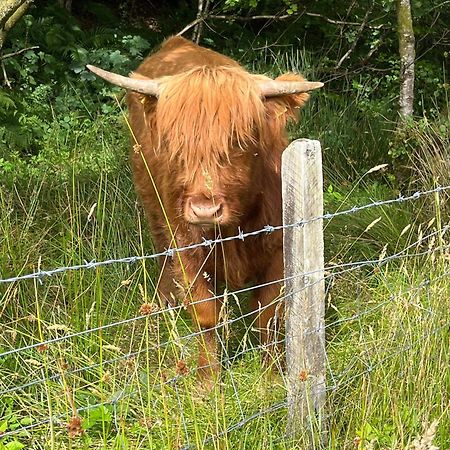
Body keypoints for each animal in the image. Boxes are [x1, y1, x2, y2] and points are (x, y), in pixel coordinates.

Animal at [87, 36, 320, 380]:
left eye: (240, 142)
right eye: (175, 145)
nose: (205, 211)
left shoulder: (278, 245)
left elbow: (268, 314)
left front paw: (271, 374)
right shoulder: (188, 249)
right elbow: (205, 314)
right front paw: (207, 380)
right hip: (155, 212)